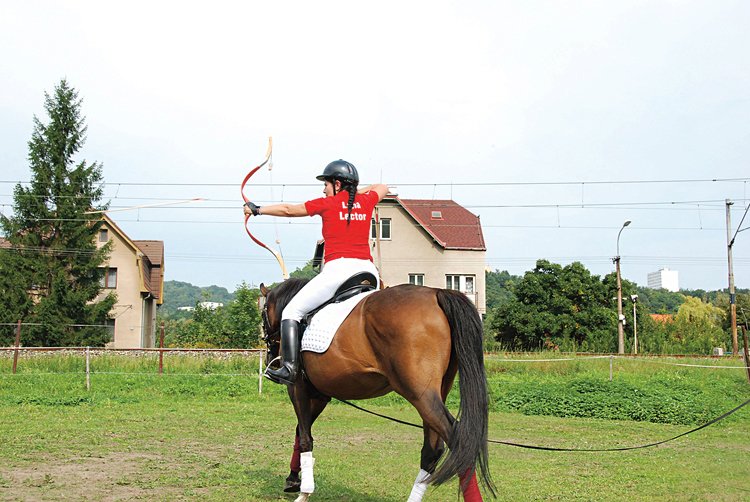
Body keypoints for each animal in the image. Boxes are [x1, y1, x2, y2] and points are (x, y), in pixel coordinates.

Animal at [262, 280, 496, 500]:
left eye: (263, 312)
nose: (272, 359)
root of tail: (436, 293)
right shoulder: (320, 396)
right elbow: (300, 431)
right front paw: (293, 480)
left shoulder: (297, 388)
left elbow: (304, 436)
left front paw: (304, 491)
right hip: (434, 396)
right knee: (432, 451)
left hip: (420, 395)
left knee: (459, 441)